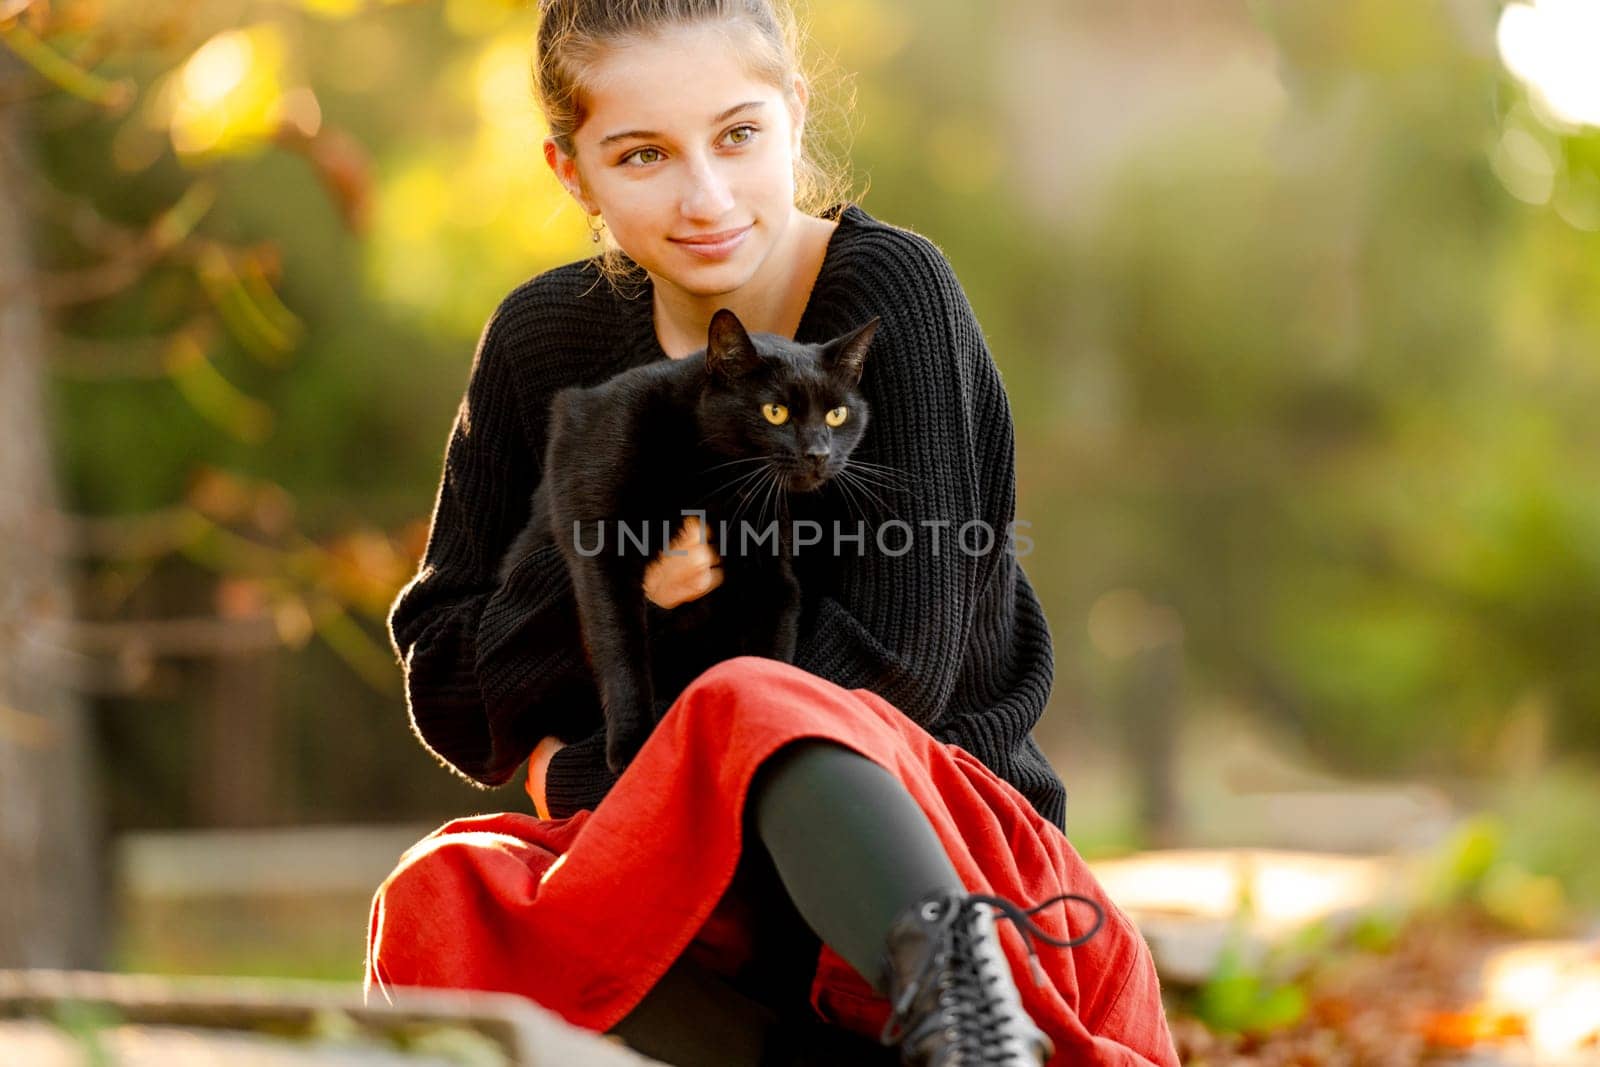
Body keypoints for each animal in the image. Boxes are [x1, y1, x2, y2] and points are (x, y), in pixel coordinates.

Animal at [496, 303, 876, 771]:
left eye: (837, 415)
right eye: (775, 412)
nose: (819, 454)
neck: (713, 475)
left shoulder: (769, 573)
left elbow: (765, 663)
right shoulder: (602, 547)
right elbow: (621, 646)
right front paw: (632, 744)